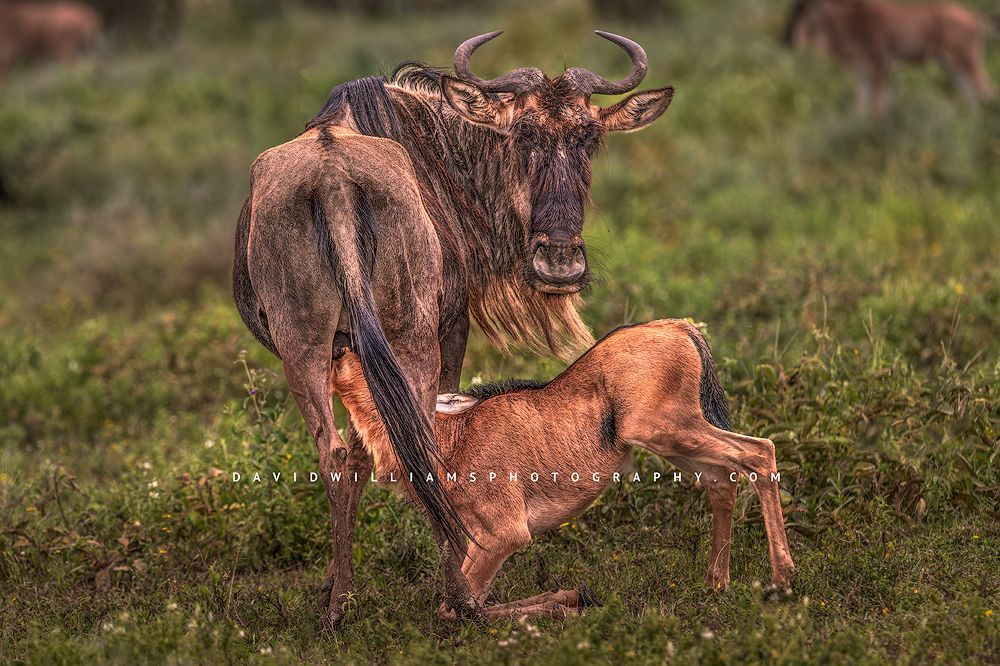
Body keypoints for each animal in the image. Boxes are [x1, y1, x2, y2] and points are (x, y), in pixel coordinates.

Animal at [331, 320, 795, 619]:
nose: (338, 340)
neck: (448, 439)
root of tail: (680, 326)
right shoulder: (476, 539)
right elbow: (465, 603)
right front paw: (571, 597)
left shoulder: (504, 534)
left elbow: (456, 609)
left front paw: (570, 602)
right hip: (675, 439)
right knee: (723, 478)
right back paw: (718, 583)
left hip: (664, 429)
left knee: (760, 452)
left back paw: (782, 579)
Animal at [784, 0, 997, 115]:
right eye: (793, 9)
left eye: (807, 11)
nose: (789, 38)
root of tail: (975, 17)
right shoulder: (864, 73)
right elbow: (861, 106)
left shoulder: (880, 66)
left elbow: (878, 107)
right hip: (950, 66)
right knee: (971, 95)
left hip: (965, 61)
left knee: (987, 90)